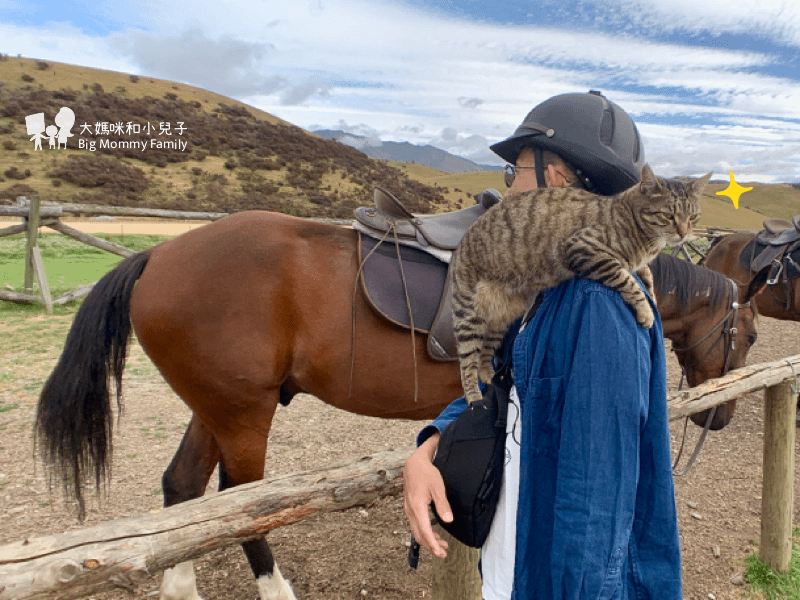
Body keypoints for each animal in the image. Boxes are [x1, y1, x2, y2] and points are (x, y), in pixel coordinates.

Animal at [36, 212, 768, 600]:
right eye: (751, 335)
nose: (719, 416)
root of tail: (158, 254)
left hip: (215, 406)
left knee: (185, 490)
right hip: (242, 414)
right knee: (240, 505)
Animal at [454, 165, 708, 404]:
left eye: (693, 217)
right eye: (668, 216)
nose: (683, 233)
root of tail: (461, 243)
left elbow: (646, 274)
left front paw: (652, 295)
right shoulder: (583, 248)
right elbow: (626, 279)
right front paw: (645, 309)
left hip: (500, 320)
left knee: (485, 350)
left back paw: (487, 373)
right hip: (468, 315)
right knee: (467, 363)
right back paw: (474, 396)